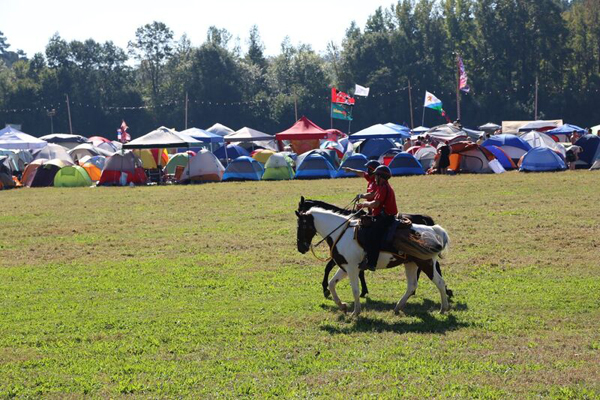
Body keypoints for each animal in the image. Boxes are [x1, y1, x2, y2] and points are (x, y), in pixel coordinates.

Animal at [296, 202, 450, 318]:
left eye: (302, 225)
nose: (301, 247)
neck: (341, 233)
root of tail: (432, 229)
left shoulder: (352, 268)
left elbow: (355, 289)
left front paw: (355, 311)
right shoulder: (345, 267)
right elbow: (332, 283)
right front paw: (342, 305)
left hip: (426, 263)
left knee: (439, 282)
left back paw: (443, 308)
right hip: (411, 263)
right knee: (412, 285)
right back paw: (398, 307)